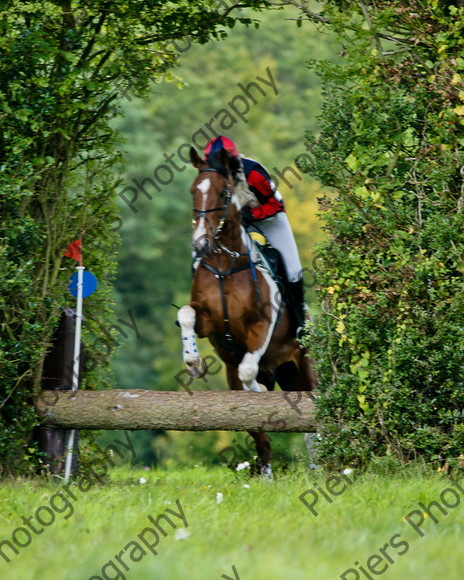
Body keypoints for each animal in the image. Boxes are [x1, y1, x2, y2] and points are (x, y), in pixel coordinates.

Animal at [176, 147, 318, 478]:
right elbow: (186, 314)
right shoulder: (209, 323)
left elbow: (248, 370)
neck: (225, 265)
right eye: (193, 190)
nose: (199, 244)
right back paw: (266, 475)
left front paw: (258, 391)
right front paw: (193, 363)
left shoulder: (262, 324)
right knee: (260, 434)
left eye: (223, 192)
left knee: (312, 426)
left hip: (304, 372)